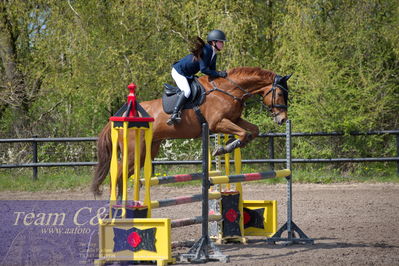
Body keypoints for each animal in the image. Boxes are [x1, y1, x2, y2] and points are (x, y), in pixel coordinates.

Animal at [90, 66, 292, 195]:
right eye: (279, 93)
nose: (282, 119)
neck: (228, 90)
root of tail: (118, 119)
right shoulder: (217, 123)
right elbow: (244, 133)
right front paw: (222, 148)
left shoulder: (234, 120)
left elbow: (252, 131)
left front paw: (227, 145)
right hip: (134, 151)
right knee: (118, 174)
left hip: (147, 150)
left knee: (124, 175)